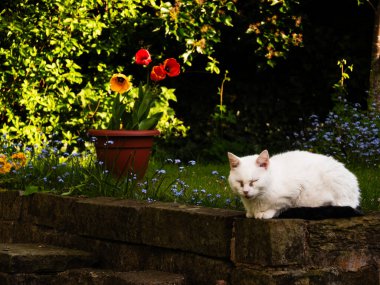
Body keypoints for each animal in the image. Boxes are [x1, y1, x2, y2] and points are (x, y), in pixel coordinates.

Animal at [227, 150, 360, 219]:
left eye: (254, 181)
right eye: (239, 182)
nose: (245, 192)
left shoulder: (296, 190)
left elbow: (280, 205)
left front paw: (266, 213)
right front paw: (250, 213)